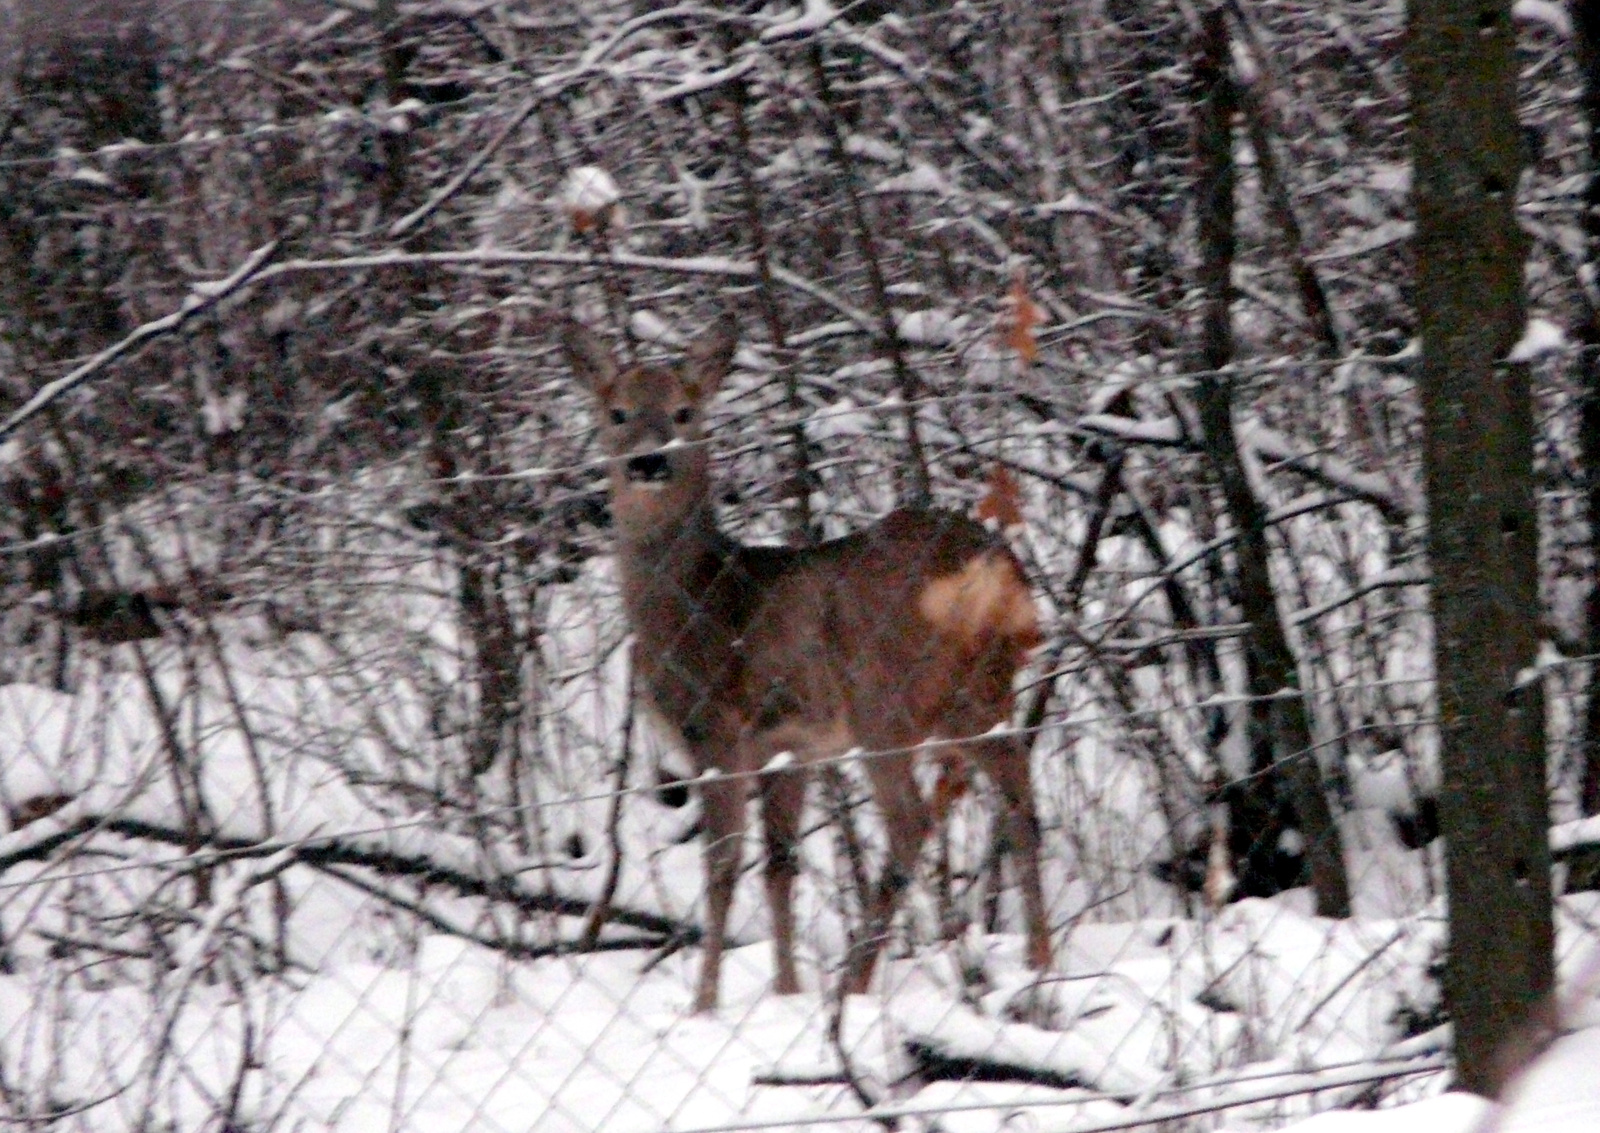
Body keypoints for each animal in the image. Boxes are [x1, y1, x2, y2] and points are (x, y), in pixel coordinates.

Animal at [563, 313, 1049, 1011]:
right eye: (617, 411)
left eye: (685, 411)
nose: (649, 460)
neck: (701, 600)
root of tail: (994, 574)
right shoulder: (788, 747)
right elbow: (779, 867)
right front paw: (786, 991)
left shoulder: (720, 729)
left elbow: (722, 867)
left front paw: (706, 1003)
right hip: (981, 696)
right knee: (1020, 804)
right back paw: (1039, 965)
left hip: (885, 698)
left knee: (910, 823)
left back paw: (854, 984)